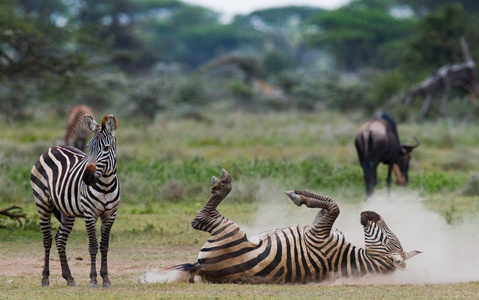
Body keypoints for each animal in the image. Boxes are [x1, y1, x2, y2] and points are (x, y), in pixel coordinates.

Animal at [31, 113, 121, 288]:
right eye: (89, 147)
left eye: (106, 149)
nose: (87, 177)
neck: (105, 185)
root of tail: (52, 148)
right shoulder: (89, 214)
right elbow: (93, 246)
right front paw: (93, 279)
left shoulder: (110, 215)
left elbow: (104, 246)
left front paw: (106, 279)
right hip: (43, 203)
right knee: (47, 240)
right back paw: (45, 278)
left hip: (67, 211)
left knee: (60, 239)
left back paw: (69, 278)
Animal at [172, 169, 420, 284]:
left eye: (390, 239)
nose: (369, 213)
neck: (352, 259)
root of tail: (201, 268)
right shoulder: (319, 227)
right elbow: (329, 202)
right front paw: (299, 192)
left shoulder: (317, 234)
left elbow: (334, 207)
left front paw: (297, 196)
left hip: (229, 231)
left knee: (201, 219)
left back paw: (223, 185)